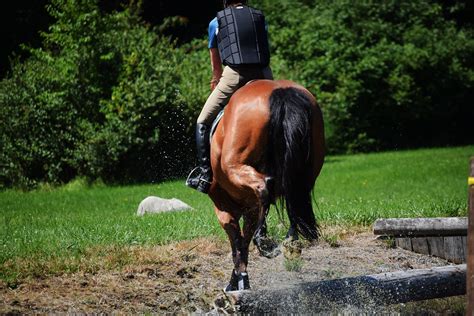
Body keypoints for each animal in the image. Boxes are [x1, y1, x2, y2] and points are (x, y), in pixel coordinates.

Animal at [208, 79, 326, 292]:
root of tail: (280, 91)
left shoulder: (223, 207)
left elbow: (237, 244)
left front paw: (237, 281)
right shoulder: (251, 209)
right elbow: (243, 243)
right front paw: (240, 279)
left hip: (236, 166)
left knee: (264, 187)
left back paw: (264, 241)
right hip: (304, 171)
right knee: (293, 199)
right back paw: (290, 240)